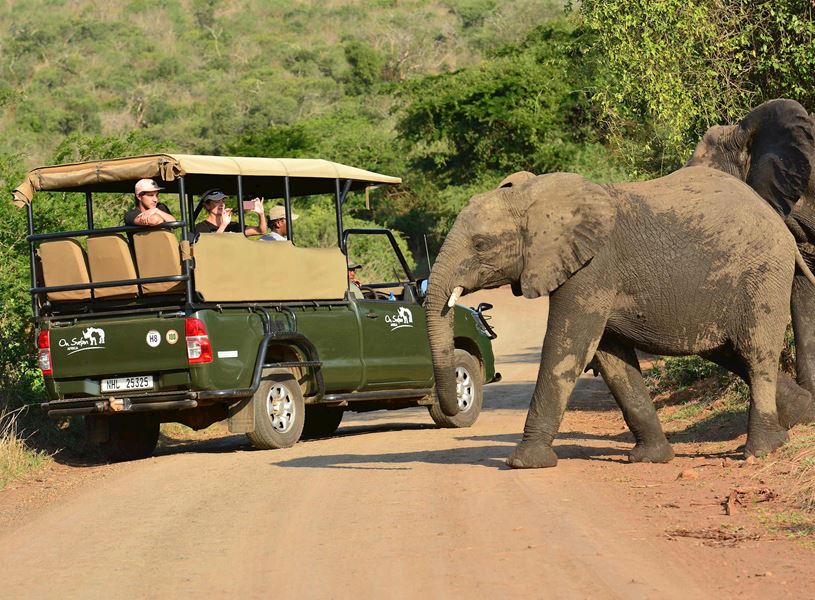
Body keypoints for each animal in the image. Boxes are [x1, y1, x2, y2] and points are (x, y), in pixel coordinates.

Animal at [426, 165, 815, 469]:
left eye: (480, 245)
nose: (456, 402)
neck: (536, 197)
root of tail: (780, 224)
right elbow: (611, 359)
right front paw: (651, 459)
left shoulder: (593, 268)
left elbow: (568, 347)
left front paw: (523, 462)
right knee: (729, 352)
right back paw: (798, 420)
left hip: (762, 274)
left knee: (754, 352)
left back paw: (760, 450)